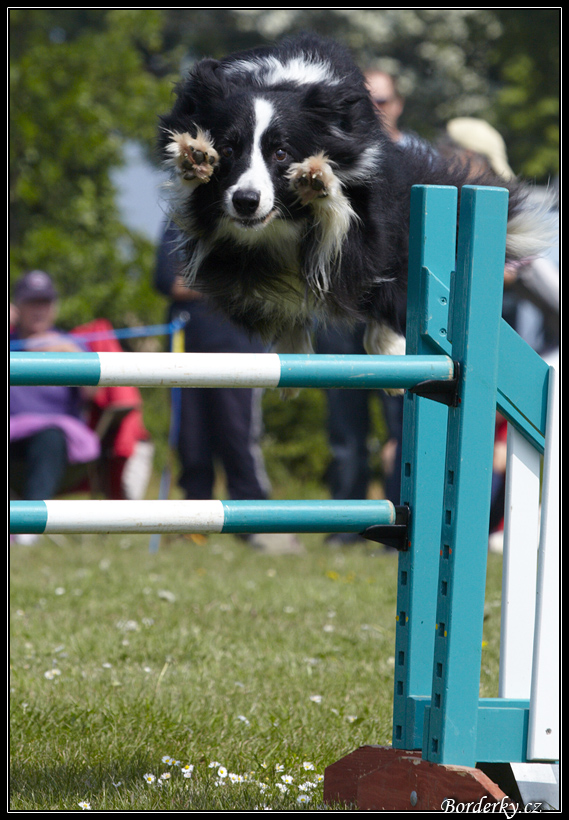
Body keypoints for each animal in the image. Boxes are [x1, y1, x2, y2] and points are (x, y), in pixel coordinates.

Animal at [158, 32, 552, 366]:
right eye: (227, 149)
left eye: (282, 153)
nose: (246, 201)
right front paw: (195, 155)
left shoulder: (367, 201)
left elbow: (347, 234)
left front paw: (317, 178)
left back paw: (389, 350)